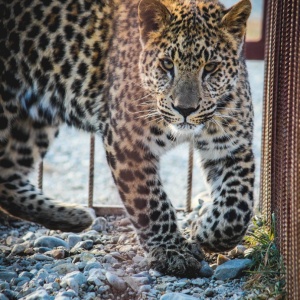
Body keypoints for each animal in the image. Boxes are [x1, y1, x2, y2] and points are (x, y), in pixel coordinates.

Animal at [0, 0, 254, 278]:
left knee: (7, 175)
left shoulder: (233, 146)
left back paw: (73, 216)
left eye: (210, 67)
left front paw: (206, 232)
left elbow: (239, 206)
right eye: (167, 64)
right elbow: (152, 203)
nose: (184, 109)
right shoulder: (128, 144)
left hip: (32, 124)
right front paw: (172, 252)